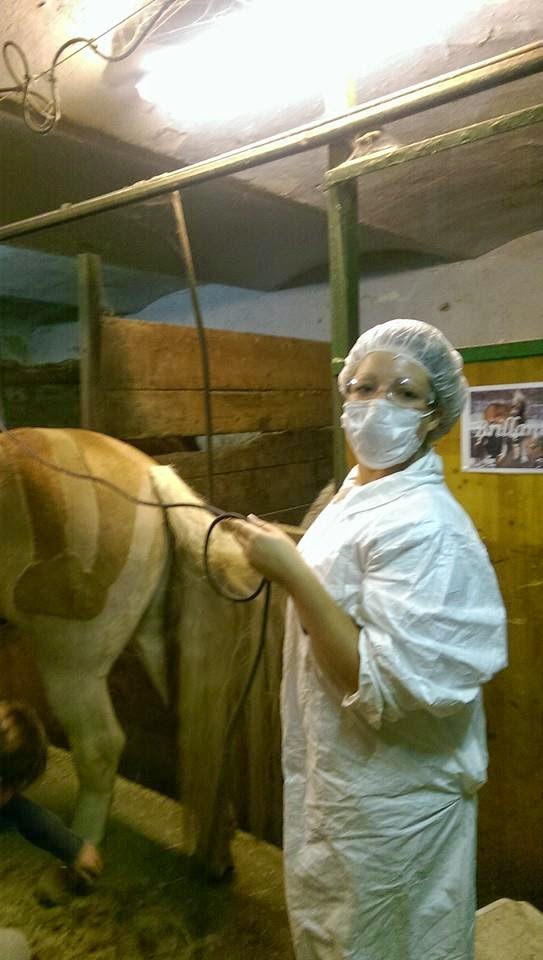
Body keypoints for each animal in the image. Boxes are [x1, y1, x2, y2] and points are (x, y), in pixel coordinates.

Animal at [0, 426, 287, 886]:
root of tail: (152, 477)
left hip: (72, 662)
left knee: (99, 748)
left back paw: (78, 861)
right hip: (154, 647)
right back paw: (217, 853)